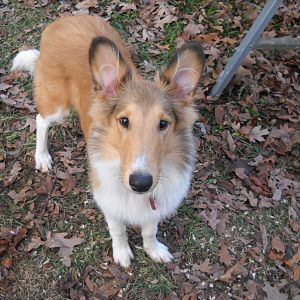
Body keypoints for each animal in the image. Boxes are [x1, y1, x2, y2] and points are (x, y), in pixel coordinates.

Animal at [11, 15, 204, 268]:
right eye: (124, 120)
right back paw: (42, 157)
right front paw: (121, 253)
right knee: (41, 120)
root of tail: (65, 19)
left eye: (163, 123)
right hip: (57, 104)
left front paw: (153, 250)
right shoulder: (109, 201)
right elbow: (118, 230)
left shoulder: (155, 204)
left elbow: (149, 230)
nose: (140, 183)